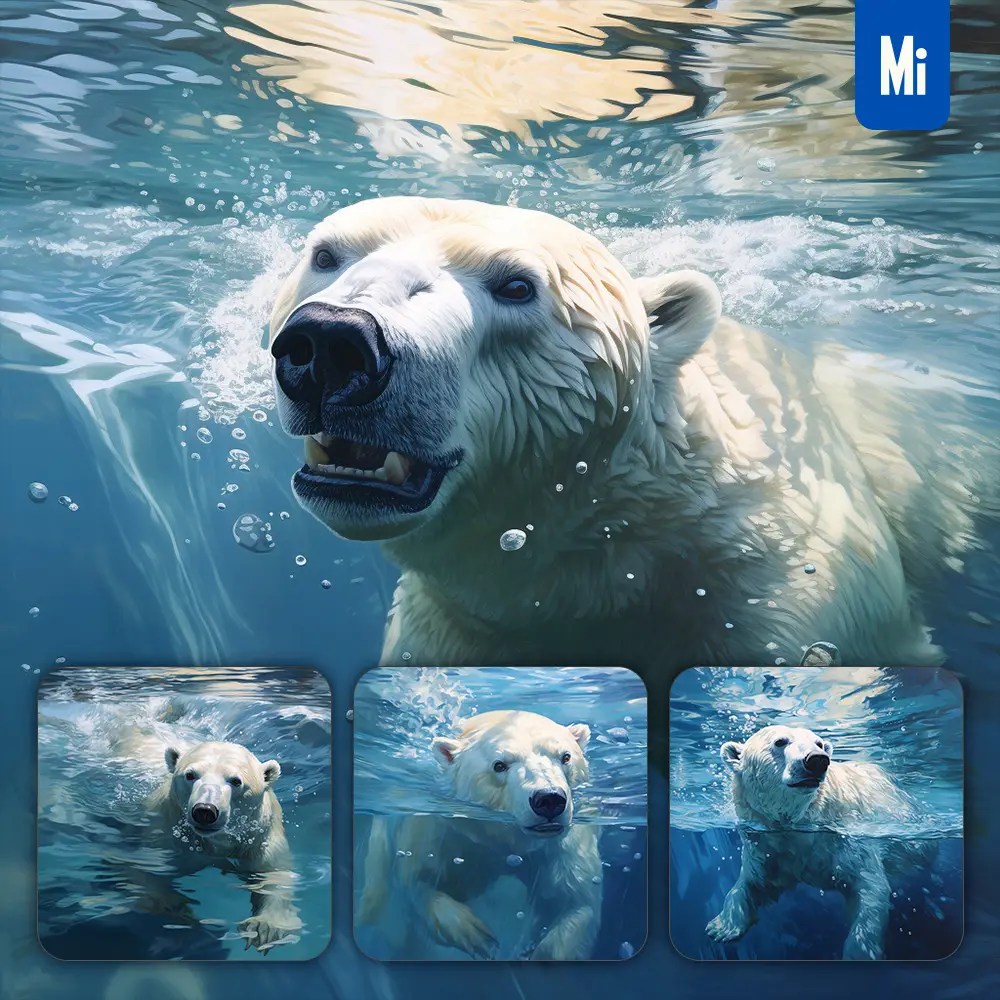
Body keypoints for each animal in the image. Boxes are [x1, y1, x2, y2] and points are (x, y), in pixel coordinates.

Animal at [142, 741, 302, 953]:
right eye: (190, 775)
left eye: (236, 781)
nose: (205, 811)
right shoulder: (168, 834)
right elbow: (150, 871)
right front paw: (180, 910)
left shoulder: (260, 839)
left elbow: (275, 875)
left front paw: (263, 927)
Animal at [354, 710, 602, 960]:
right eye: (499, 765)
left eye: (566, 757)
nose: (549, 798)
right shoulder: (442, 832)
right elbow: (417, 880)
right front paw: (475, 934)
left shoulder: (563, 845)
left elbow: (577, 901)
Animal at [707, 724, 935, 960]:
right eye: (780, 741)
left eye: (818, 743)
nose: (817, 759)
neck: (802, 824)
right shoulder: (766, 846)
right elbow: (754, 881)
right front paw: (722, 927)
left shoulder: (849, 839)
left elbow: (870, 887)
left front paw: (859, 953)